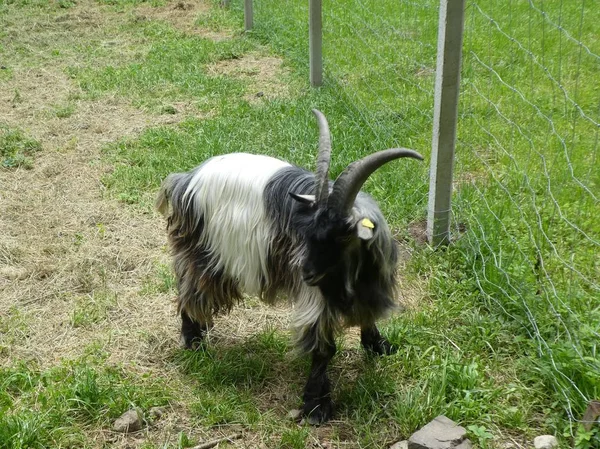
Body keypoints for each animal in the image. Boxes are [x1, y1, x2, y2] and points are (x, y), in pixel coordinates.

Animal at [157, 109, 424, 424]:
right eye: (309, 231)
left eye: (342, 235)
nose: (306, 272)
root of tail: (186, 180)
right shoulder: (315, 296)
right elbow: (324, 348)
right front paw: (316, 407)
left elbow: (367, 318)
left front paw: (380, 347)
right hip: (204, 251)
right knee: (190, 288)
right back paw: (194, 341)